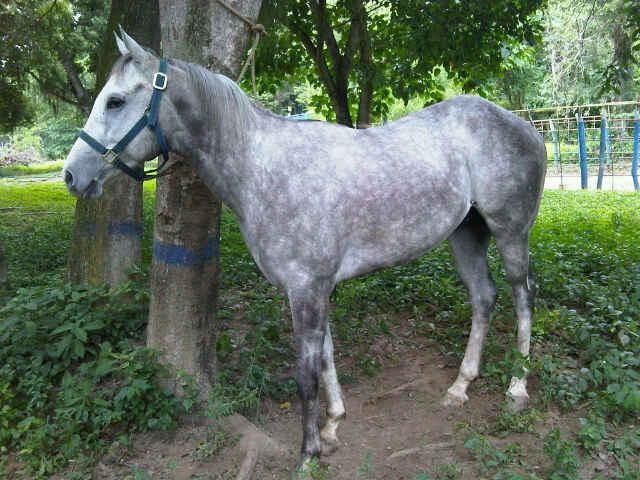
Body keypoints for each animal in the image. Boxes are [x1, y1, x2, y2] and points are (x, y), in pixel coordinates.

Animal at [63, 31, 544, 464]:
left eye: (115, 101)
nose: (72, 175)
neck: (264, 169)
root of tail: (524, 126)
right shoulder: (314, 289)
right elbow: (326, 355)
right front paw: (332, 426)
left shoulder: (306, 289)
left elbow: (305, 374)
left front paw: (309, 452)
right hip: (465, 235)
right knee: (483, 297)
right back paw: (460, 386)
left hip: (510, 232)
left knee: (522, 297)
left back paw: (517, 388)